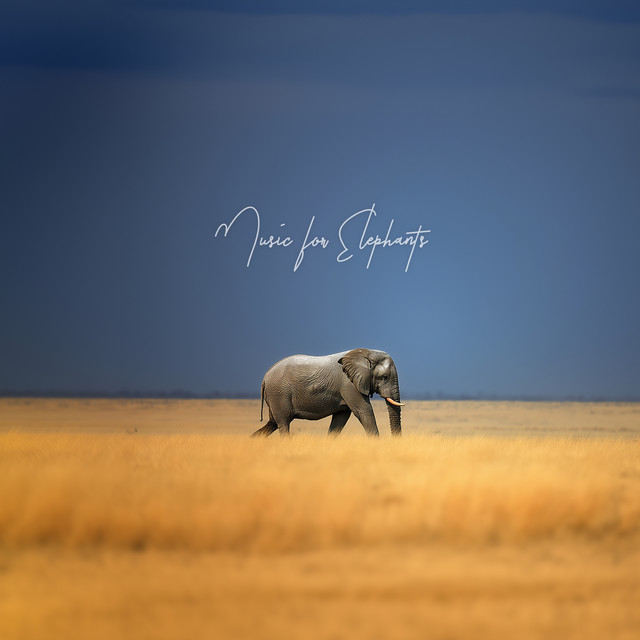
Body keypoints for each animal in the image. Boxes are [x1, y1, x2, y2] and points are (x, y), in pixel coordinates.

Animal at [251, 348, 403, 437]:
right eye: (384, 377)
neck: (366, 353)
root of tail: (265, 378)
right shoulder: (348, 384)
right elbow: (364, 411)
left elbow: (341, 418)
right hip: (279, 394)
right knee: (283, 424)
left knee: (272, 423)